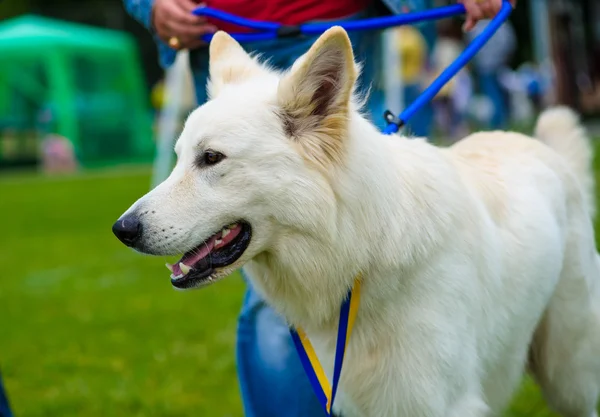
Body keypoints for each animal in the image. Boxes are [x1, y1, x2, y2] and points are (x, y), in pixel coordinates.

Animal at [113, 28, 600, 416]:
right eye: (178, 159)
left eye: (212, 158)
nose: (122, 230)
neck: (362, 247)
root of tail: (549, 152)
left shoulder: (437, 401)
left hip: (569, 375)